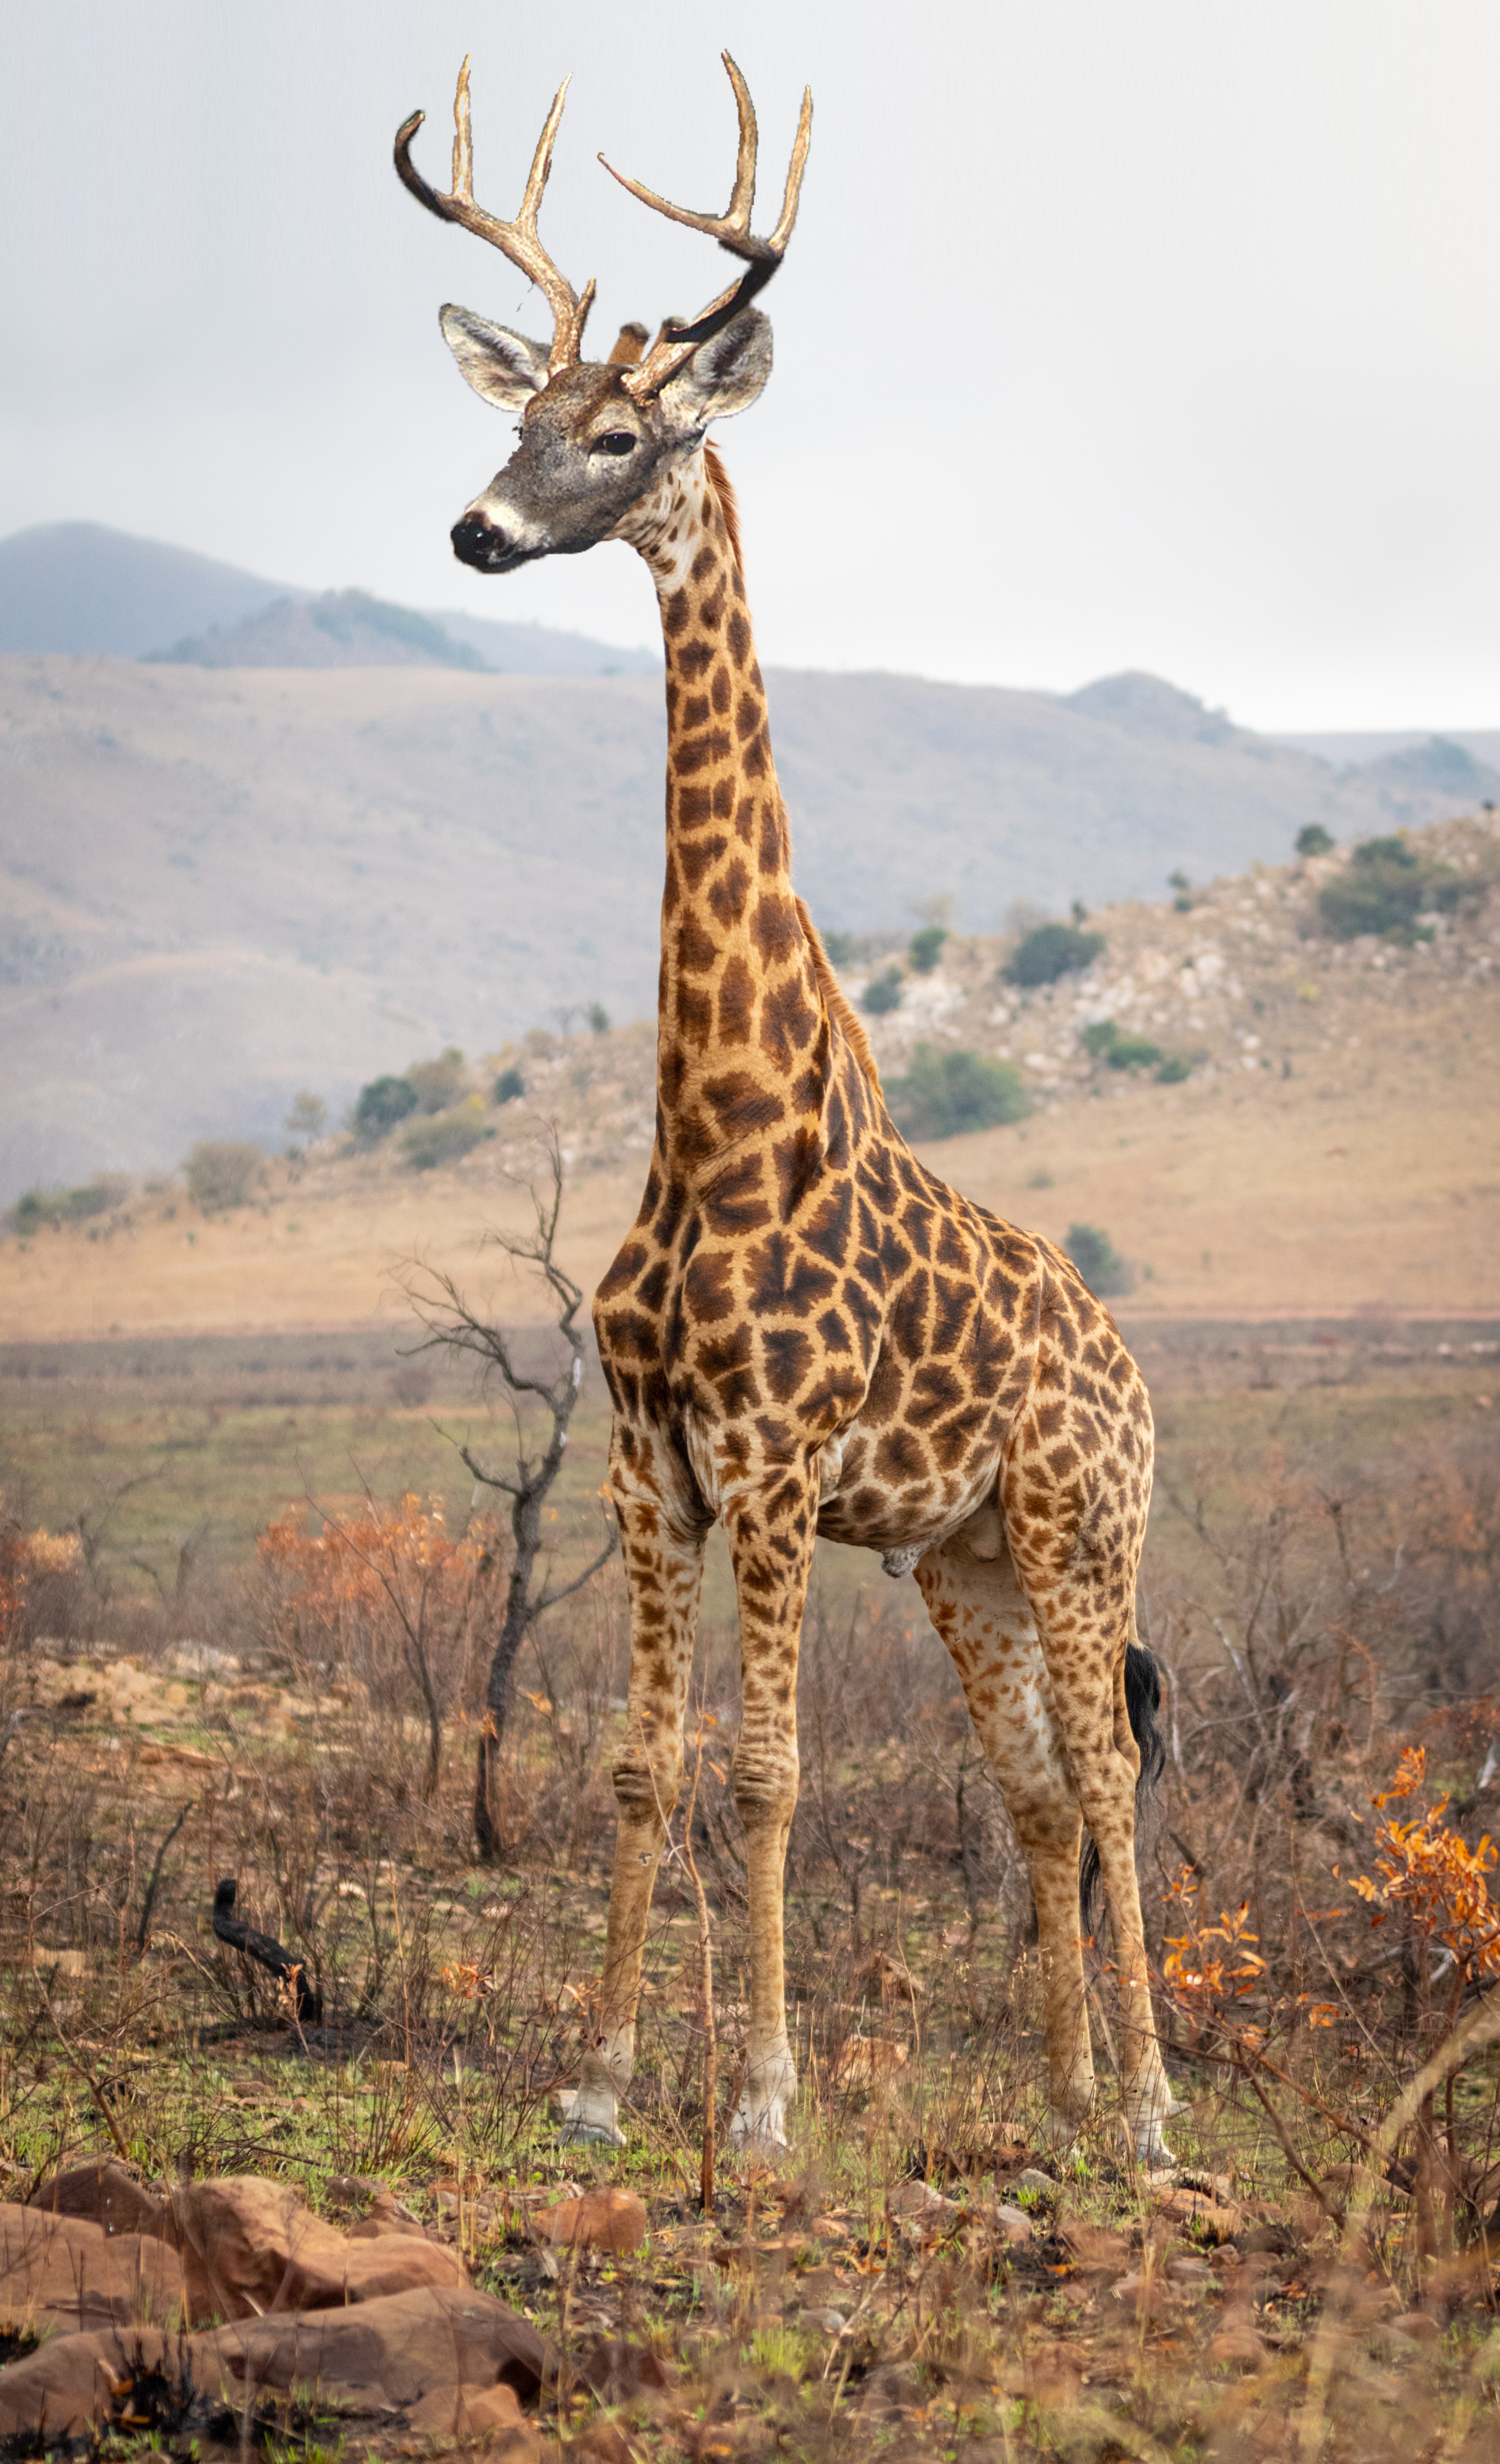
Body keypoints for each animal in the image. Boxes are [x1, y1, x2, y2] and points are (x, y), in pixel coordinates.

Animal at [394, 48, 1182, 2168]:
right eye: (512, 416)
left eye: (616, 430)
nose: (475, 532)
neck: (719, 1131)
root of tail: (1131, 1367)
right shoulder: (642, 1461)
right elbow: (642, 1764)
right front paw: (599, 2078)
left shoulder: (770, 1465)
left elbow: (765, 1773)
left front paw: (754, 2098)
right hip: (962, 1560)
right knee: (1044, 1794)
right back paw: (1066, 2093)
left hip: (1081, 1526)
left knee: (1118, 1777)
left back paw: (1155, 2112)